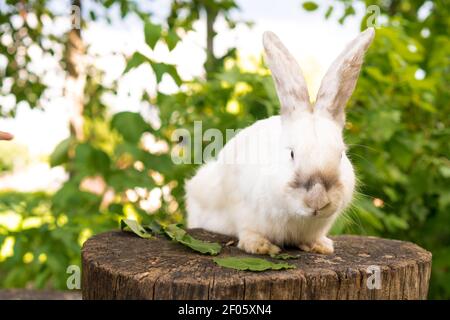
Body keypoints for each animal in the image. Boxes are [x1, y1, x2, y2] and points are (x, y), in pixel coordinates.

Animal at [185, 28, 374, 255]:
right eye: (291, 154)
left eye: (341, 155)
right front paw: (261, 247)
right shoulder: (242, 208)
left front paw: (320, 246)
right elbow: (247, 230)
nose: (317, 201)